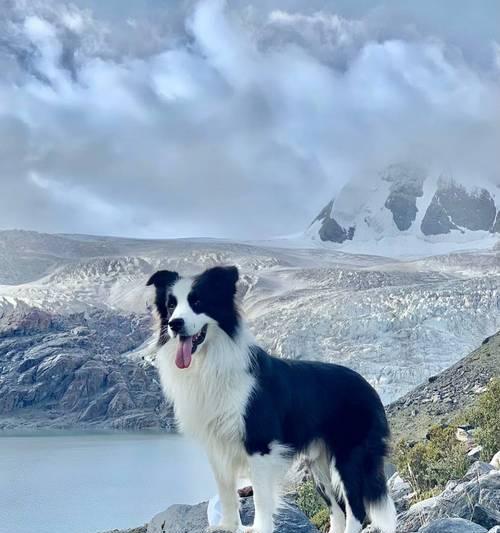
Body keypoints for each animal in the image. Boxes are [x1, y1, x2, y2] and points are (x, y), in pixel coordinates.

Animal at [146, 266, 396, 532]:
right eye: (171, 305)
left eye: (197, 301)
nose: (174, 324)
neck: (210, 360)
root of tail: (368, 387)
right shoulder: (216, 446)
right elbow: (226, 492)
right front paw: (227, 525)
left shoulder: (260, 445)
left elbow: (261, 497)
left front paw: (260, 527)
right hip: (318, 463)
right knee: (337, 510)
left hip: (349, 457)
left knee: (356, 509)